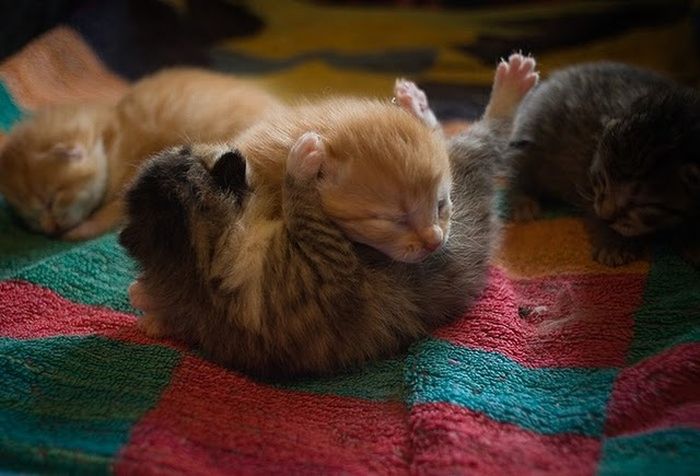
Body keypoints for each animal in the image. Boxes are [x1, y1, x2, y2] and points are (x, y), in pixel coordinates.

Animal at [0, 67, 282, 240]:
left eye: (51, 200)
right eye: (31, 217)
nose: (49, 230)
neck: (110, 140)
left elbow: (108, 214)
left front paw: (78, 232)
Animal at [508, 61, 700, 266]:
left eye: (641, 204)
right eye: (602, 179)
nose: (606, 217)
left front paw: (692, 241)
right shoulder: (587, 181)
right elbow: (592, 207)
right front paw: (614, 243)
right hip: (532, 144)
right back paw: (523, 202)